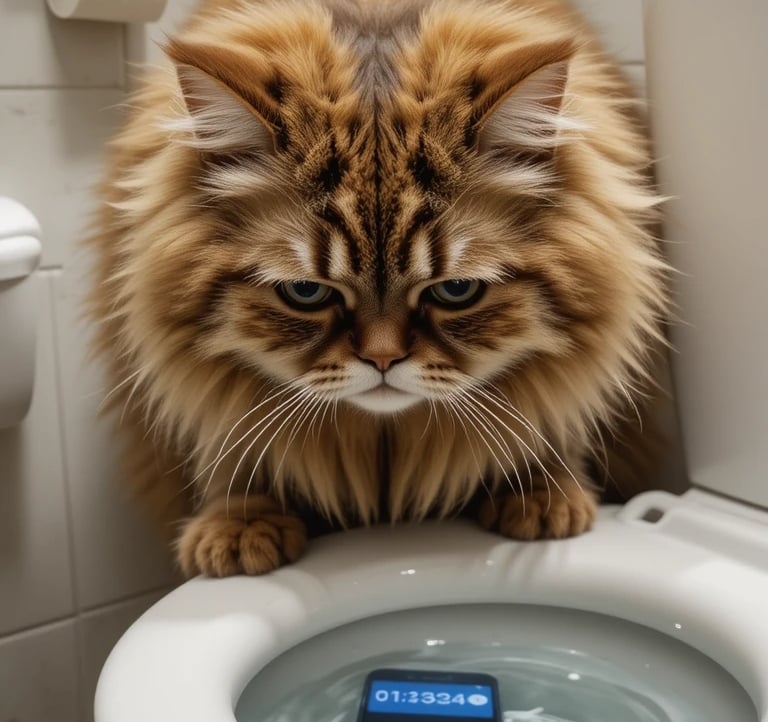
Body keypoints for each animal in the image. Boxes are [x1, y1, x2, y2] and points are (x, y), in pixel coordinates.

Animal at [88, 0, 670, 578]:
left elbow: (551, 423)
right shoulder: (207, 395)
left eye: (456, 290)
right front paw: (240, 527)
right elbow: (232, 457)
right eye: (306, 293)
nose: (383, 360)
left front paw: (543, 495)